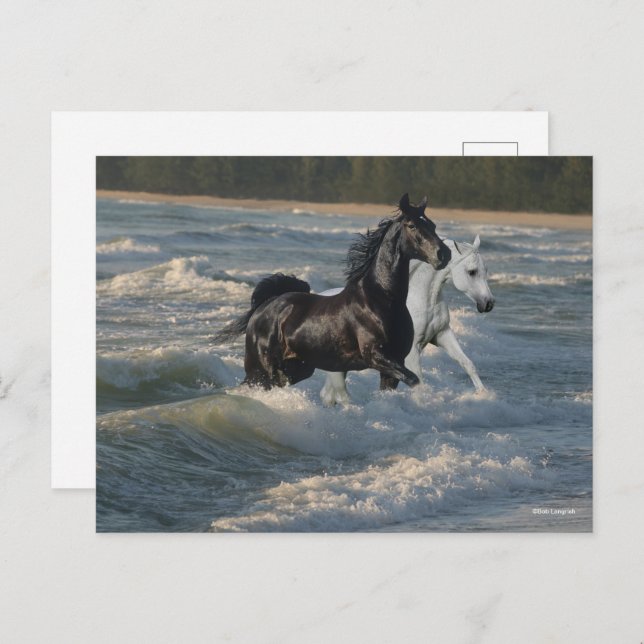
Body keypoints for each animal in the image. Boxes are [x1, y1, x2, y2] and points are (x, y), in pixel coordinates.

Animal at [214, 194, 451, 390]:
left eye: (432, 224)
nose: (444, 254)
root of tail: (263, 308)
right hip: (262, 369)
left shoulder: (394, 364)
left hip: (299, 367)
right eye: (412, 225)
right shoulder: (376, 356)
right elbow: (414, 379)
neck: (383, 300)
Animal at [319, 235, 494, 405]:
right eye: (472, 272)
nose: (489, 303)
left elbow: (467, 364)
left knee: (330, 393)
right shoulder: (411, 352)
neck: (421, 301)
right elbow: (419, 382)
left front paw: (483, 394)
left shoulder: (442, 334)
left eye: (486, 270)